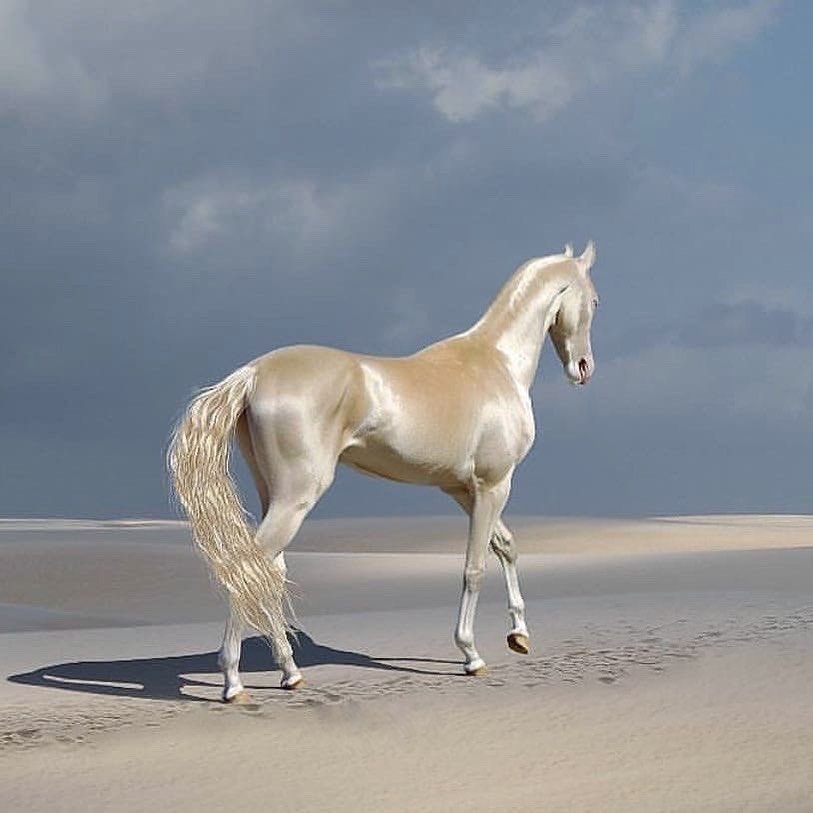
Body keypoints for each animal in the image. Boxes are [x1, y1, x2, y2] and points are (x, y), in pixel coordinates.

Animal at [168, 241, 599, 702]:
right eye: (594, 300)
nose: (583, 368)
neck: (495, 363)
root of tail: (254, 373)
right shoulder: (493, 485)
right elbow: (475, 567)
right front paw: (471, 654)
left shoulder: (463, 490)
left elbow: (507, 546)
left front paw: (519, 635)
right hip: (296, 498)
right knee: (249, 570)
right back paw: (233, 682)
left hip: (275, 497)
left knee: (268, 573)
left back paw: (290, 672)